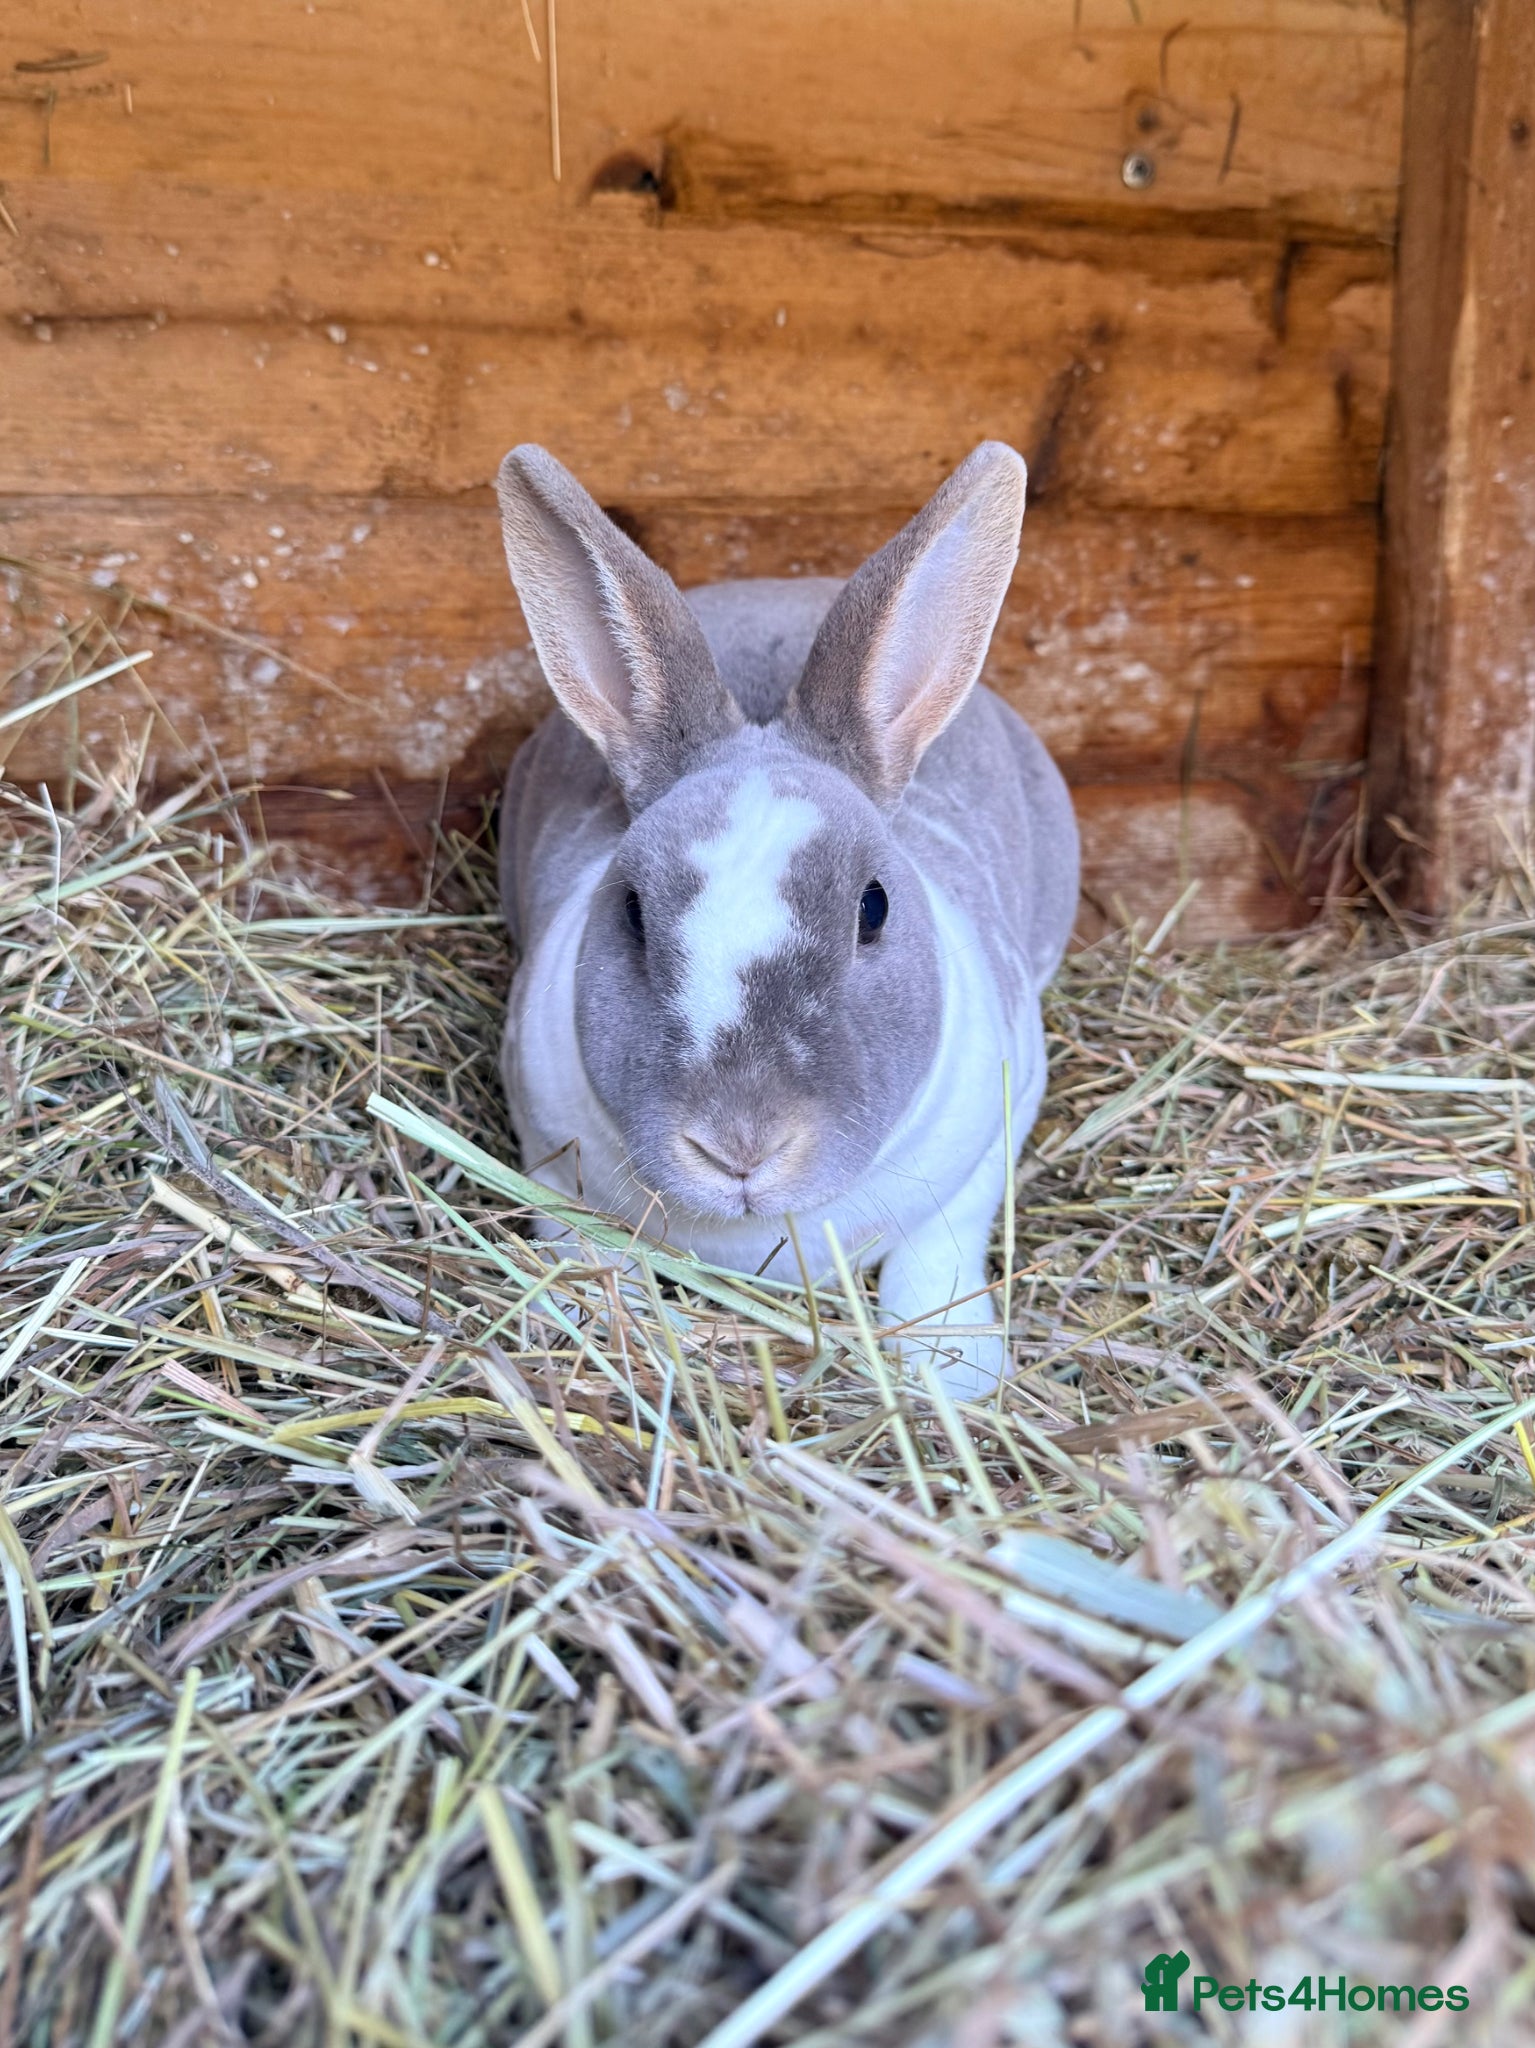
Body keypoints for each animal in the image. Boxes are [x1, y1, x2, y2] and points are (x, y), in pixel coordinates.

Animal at [493, 440, 1079, 1396]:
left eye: (873, 908)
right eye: (631, 912)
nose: (740, 1147)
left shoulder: (990, 1141)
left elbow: (936, 1262)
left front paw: (951, 1378)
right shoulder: (546, 1157)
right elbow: (588, 1256)